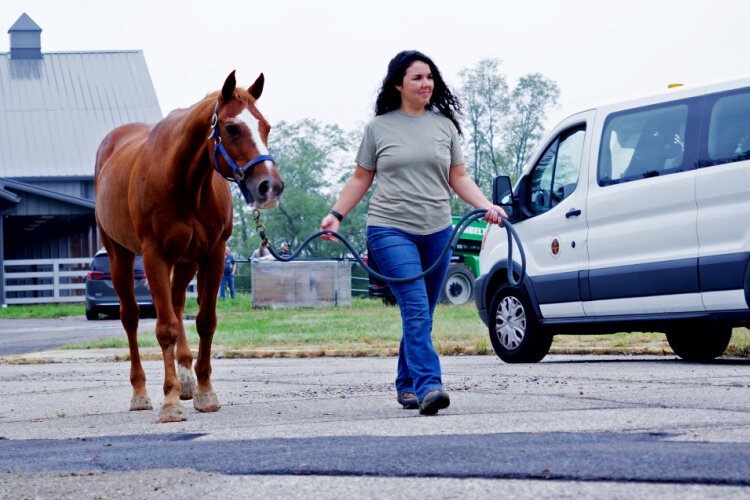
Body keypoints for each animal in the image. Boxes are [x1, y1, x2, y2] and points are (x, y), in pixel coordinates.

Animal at [94, 71, 284, 422]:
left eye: (266, 126)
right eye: (232, 128)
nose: (270, 186)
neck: (183, 180)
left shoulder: (213, 254)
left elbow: (205, 321)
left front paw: (204, 391)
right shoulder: (154, 254)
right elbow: (165, 328)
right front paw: (169, 402)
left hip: (184, 261)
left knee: (178, 303)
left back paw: (185, 380)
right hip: (119, 255)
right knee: (131, 317)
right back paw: (140, 392)